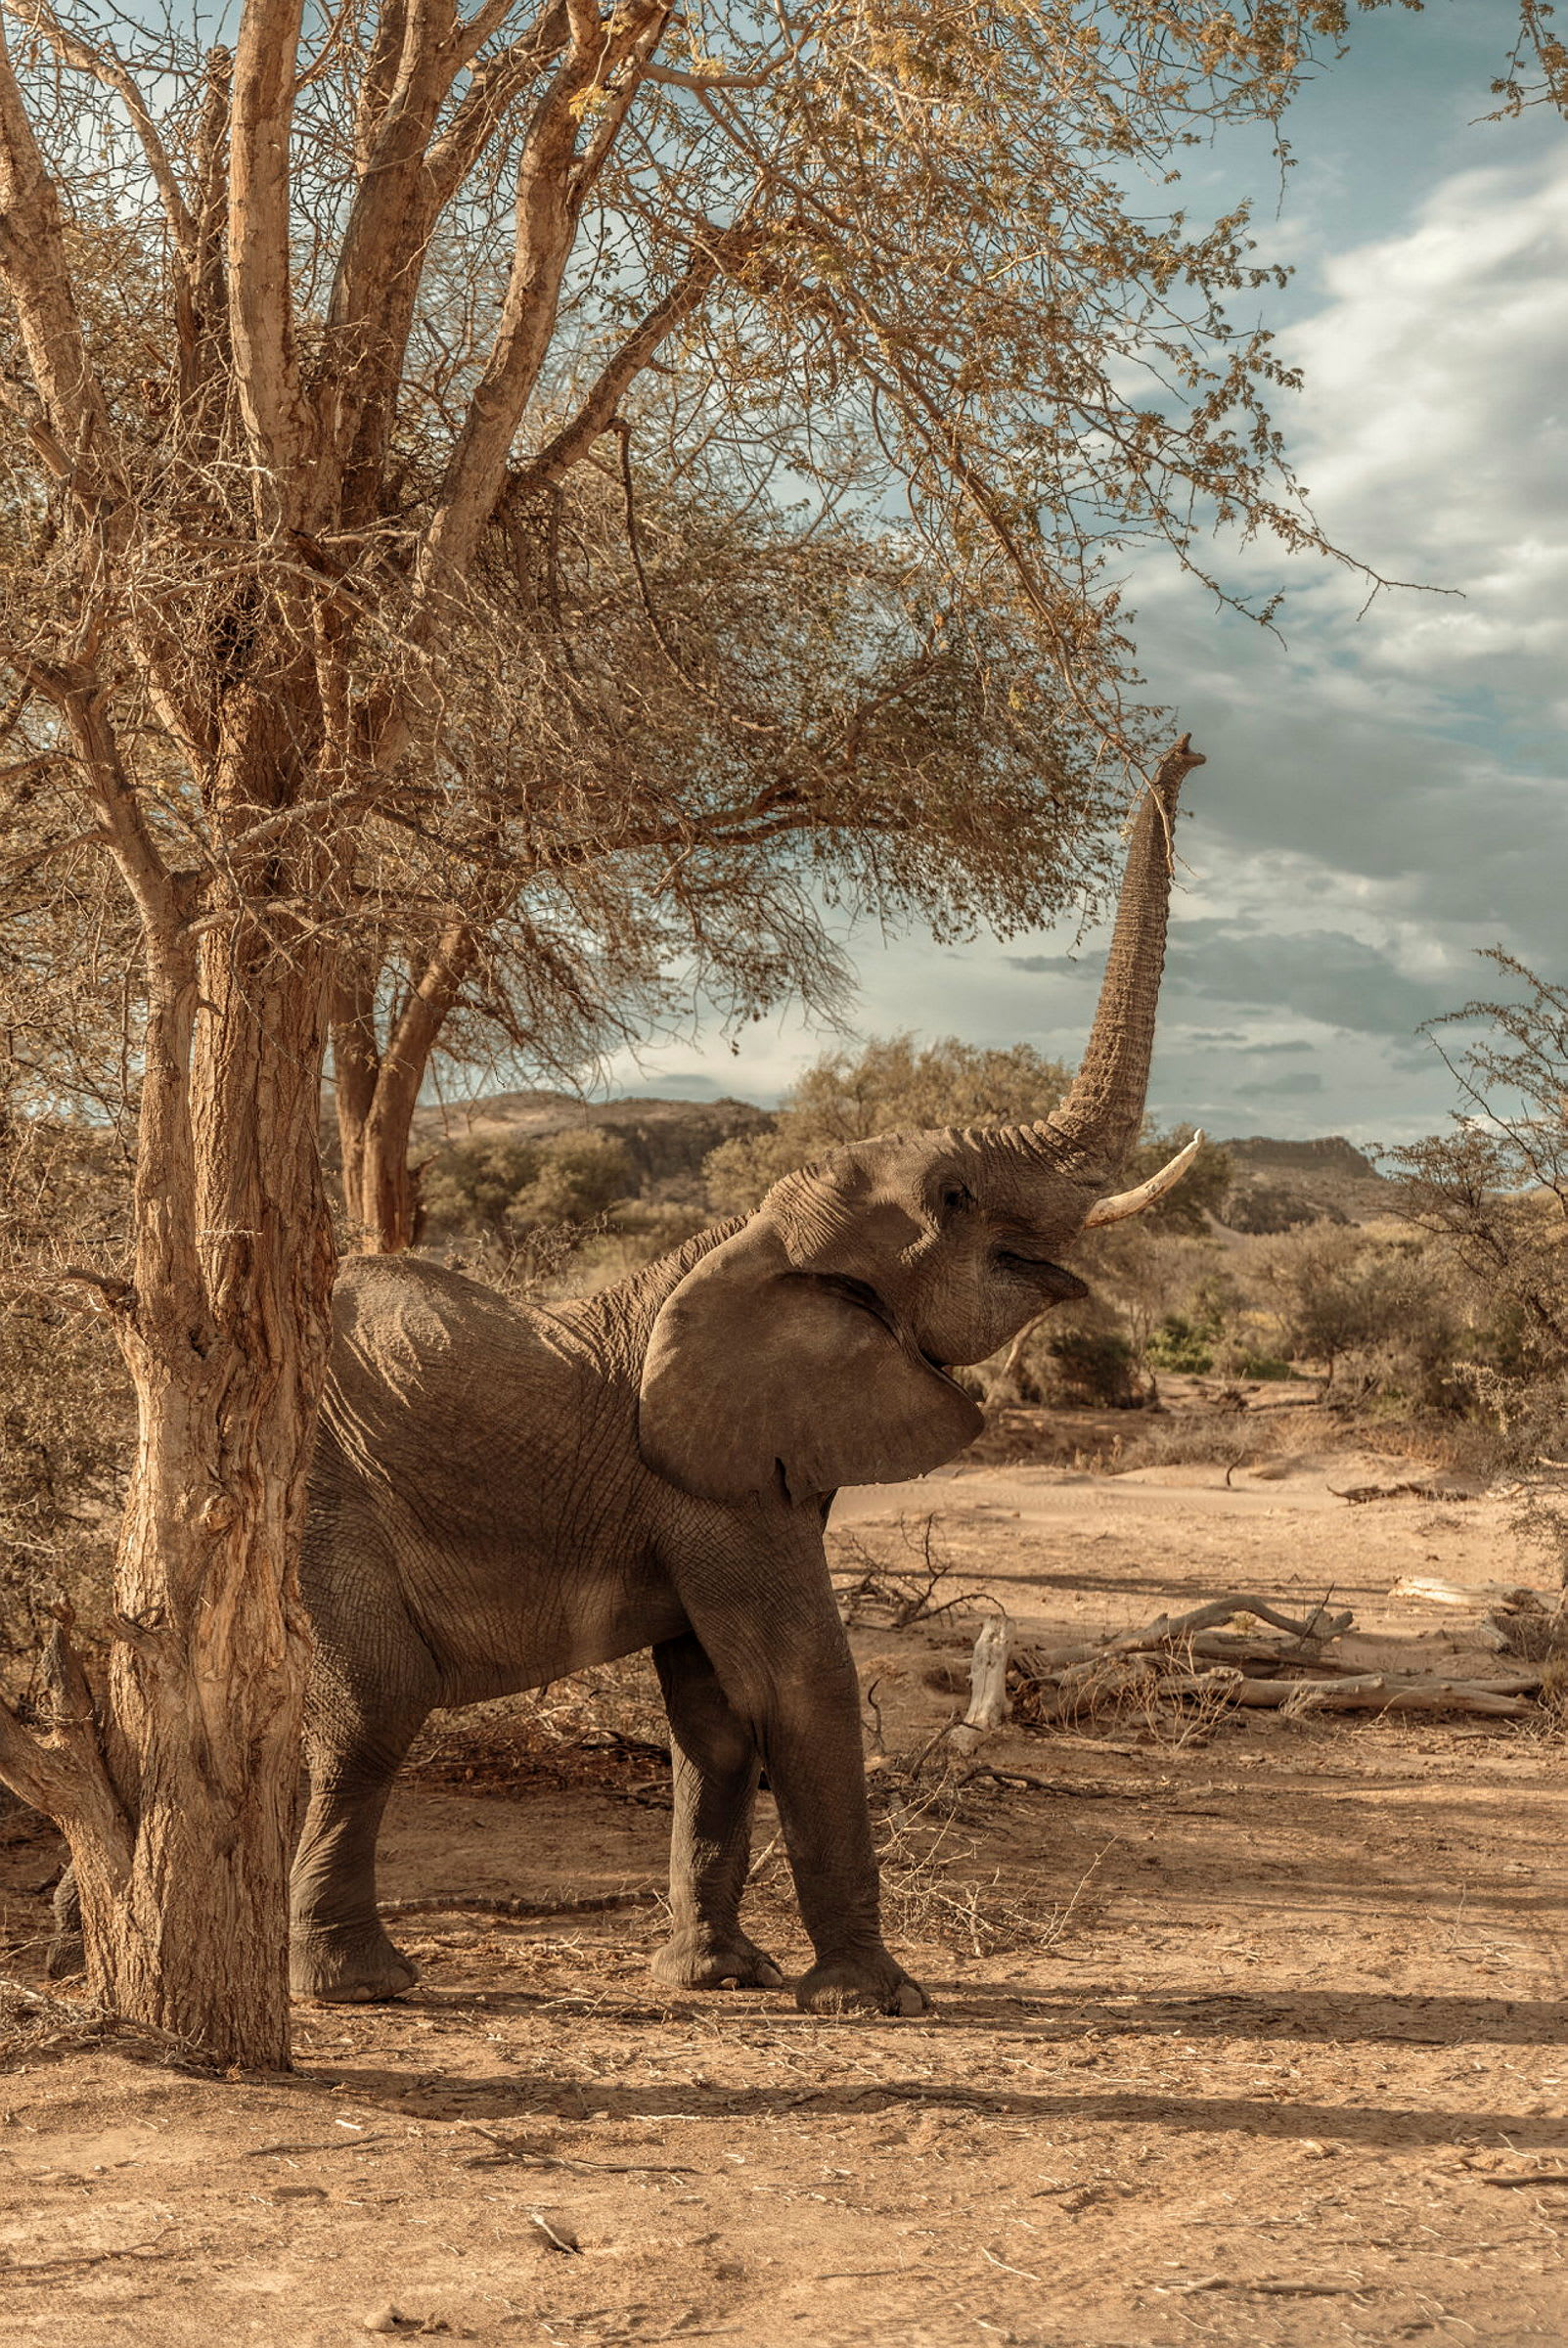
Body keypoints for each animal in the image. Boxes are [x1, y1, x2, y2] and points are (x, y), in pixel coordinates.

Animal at [288, 735, 1208, 2016]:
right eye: (955, 1198)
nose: (1186, 751)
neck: (749, 1239)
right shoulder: (710, 1488)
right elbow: (799, 1684)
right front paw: (875, 2001)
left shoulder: (735, 1472)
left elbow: (716, 1715)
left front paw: (720, 1977)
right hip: (336, 1501)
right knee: (371, 1713)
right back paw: (363, 1985)